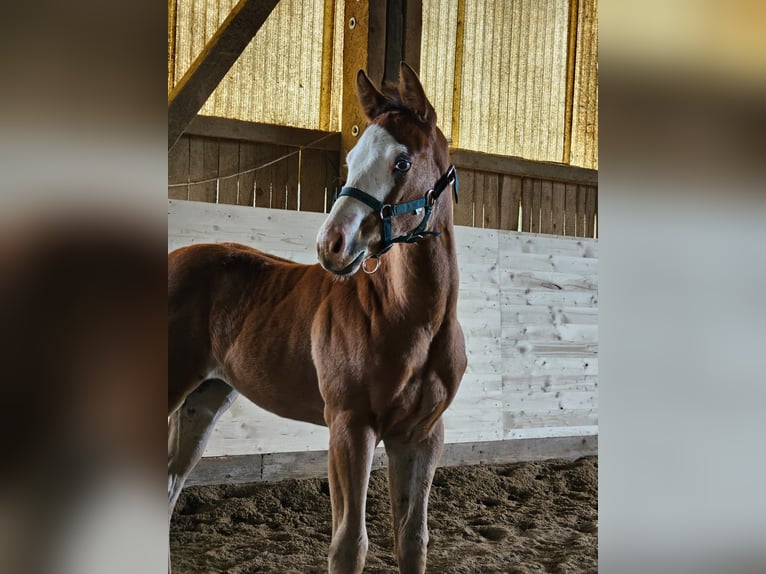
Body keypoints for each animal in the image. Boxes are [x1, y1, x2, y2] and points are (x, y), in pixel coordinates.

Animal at [168, 62, 467, 574]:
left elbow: (412, 540)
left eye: (402, 162)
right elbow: (349, 544)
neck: (410, 319)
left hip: (201, 402)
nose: (332, 245)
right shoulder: (349, 426)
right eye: (352, 159)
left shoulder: (421, 435)